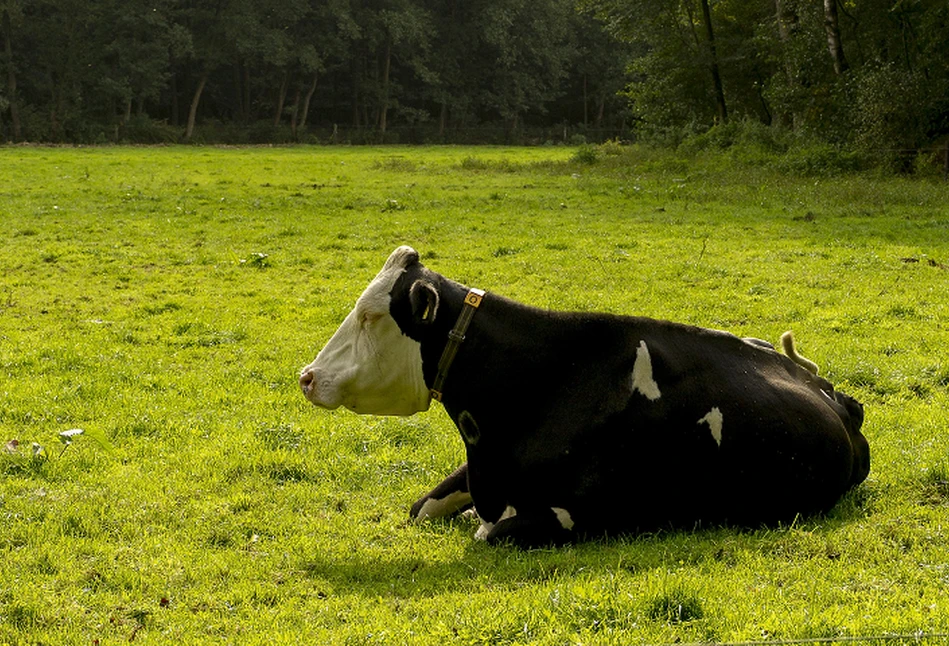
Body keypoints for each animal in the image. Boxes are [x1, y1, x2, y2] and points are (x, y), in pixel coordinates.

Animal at [300, 247, 872, 548]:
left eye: (371, 316)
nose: (307, 376)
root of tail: (835, 395)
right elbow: (420, 508)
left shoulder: (580, 513)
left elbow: (491, 533)